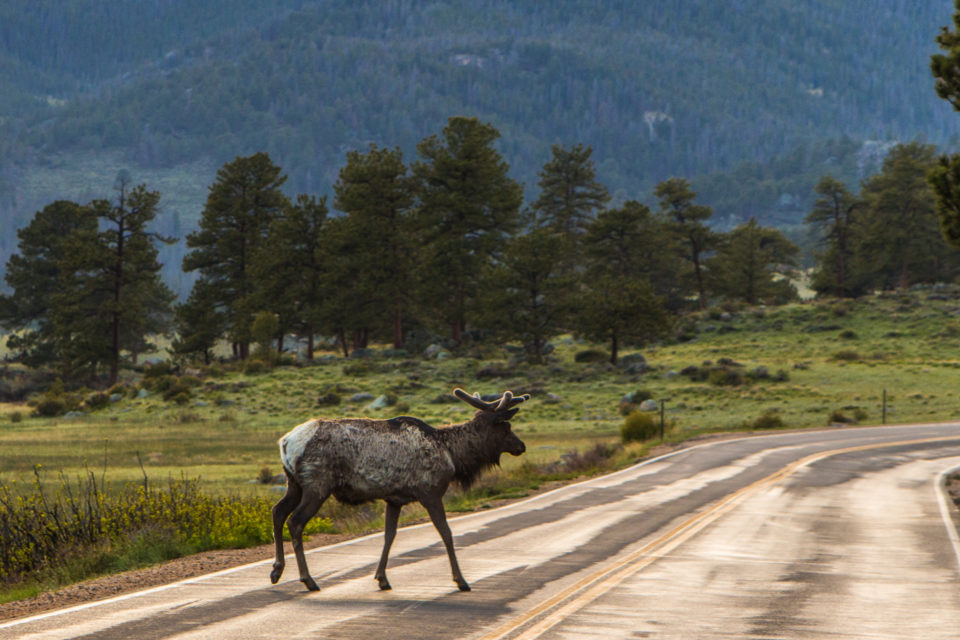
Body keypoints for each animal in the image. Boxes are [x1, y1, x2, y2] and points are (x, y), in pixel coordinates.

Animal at [270, 387, 530, 592]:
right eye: (506, 426)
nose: (522, 446)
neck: (453, 456)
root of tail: (284, 442)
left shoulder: (394, 498)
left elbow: (389, 535)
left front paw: (382, 578)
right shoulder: (430, 491)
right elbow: (446, 533)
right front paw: (461, 581)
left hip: (294, 484)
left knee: (277, 512)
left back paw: (277, 570)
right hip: (317, 483)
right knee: (295, 521)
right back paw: (308, 580)